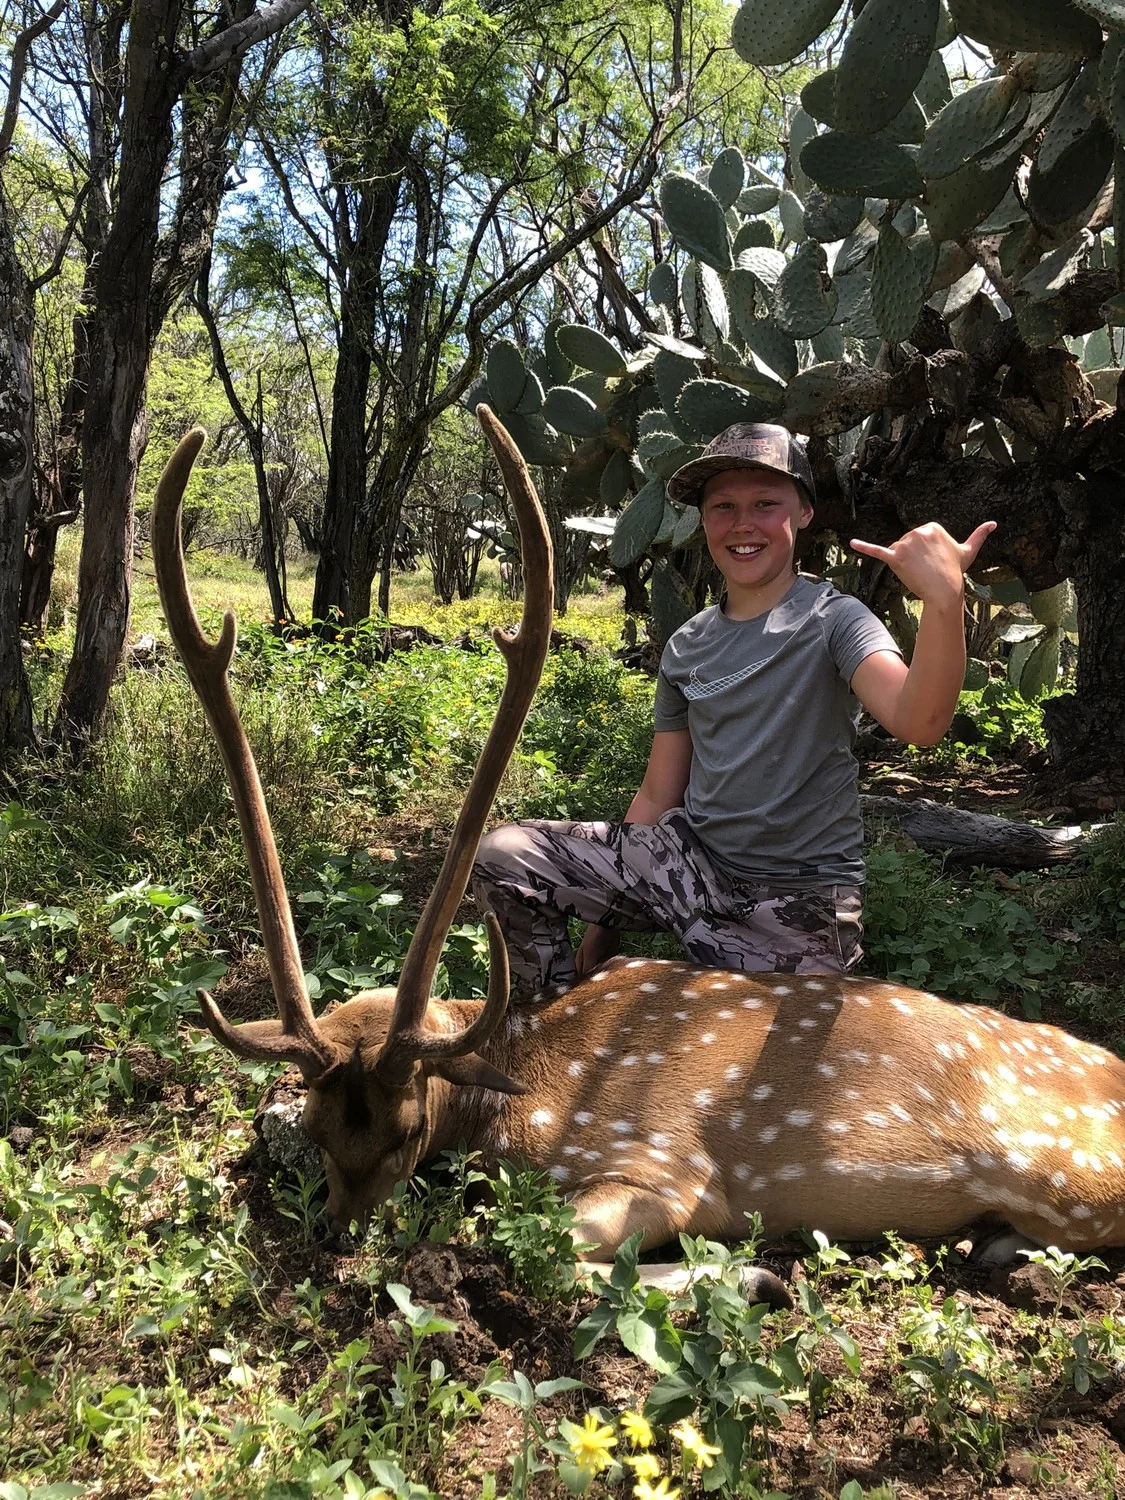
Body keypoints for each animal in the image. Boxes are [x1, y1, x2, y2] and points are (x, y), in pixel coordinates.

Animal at [153, 415, 1125, 1307]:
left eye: (402, 1128)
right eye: (319, 1132)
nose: (337, 1240)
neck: (523, 1090)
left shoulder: (662, 1164)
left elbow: (533, 1251)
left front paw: (750, 1277)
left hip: (1070, 1178)